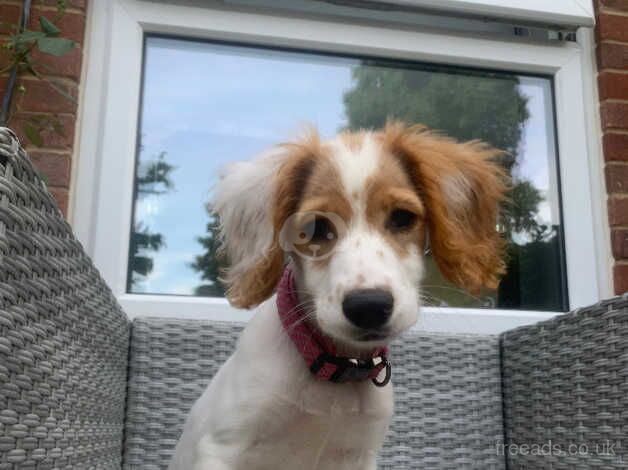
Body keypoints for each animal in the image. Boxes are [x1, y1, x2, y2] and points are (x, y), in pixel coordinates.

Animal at [167, 122, 506, 470]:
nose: (369, 307)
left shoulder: (358, 457)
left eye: (402, 218)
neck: (337, 368)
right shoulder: (222, 448)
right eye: (316, 227)